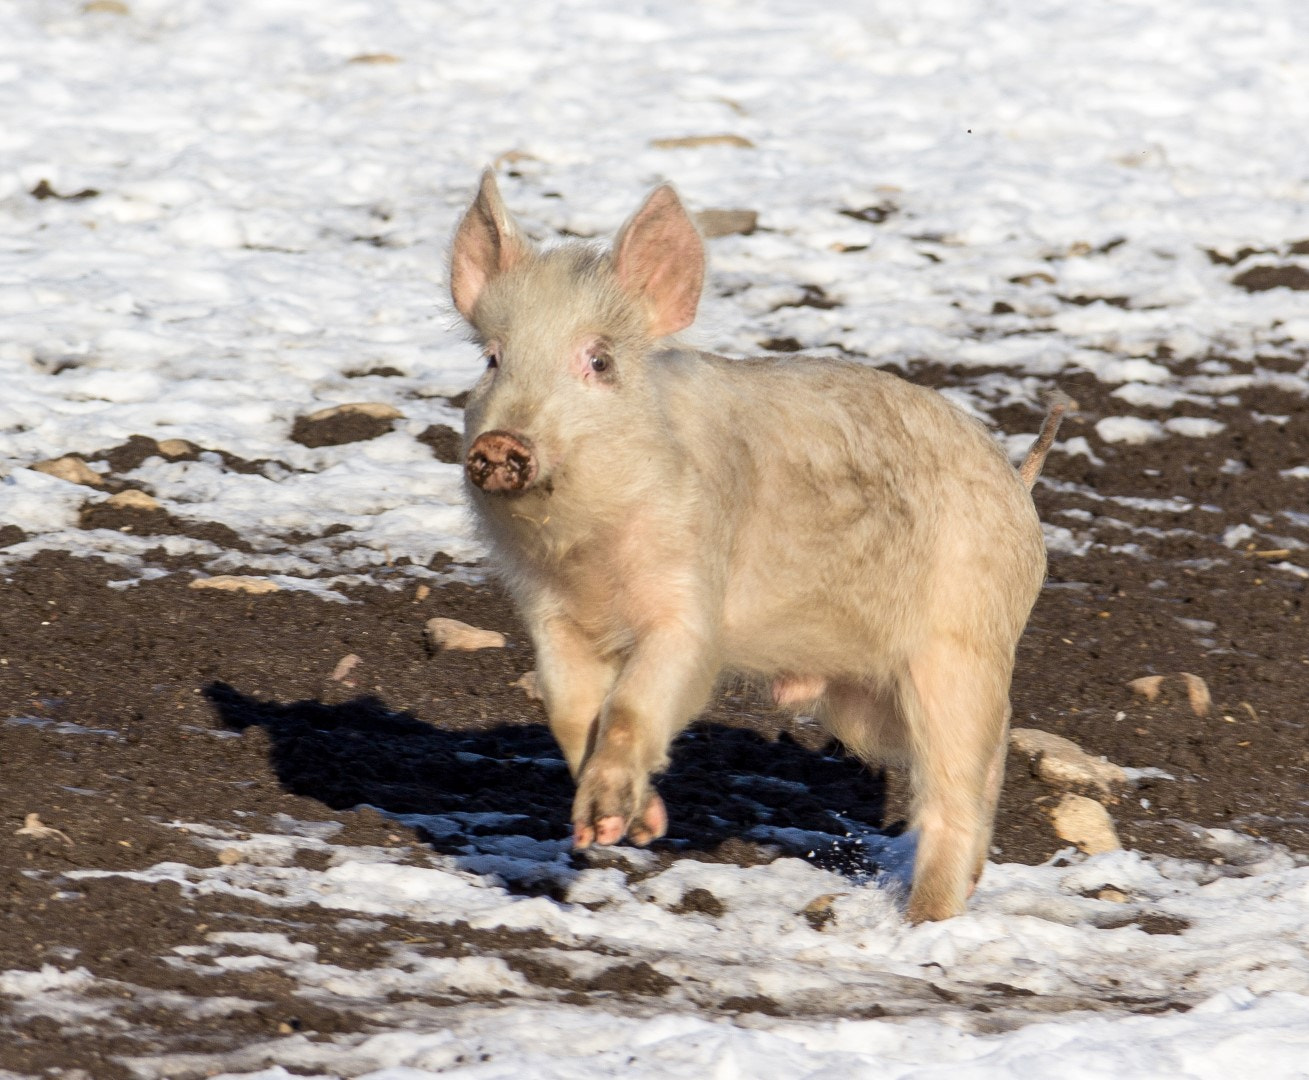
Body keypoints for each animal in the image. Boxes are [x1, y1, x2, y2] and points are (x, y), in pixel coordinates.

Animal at [450, 170, 1062, 922]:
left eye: (599, 360)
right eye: (491, 359)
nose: (498, 444)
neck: (586, 553)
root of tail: (1018, 487)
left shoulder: (691, 601)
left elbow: (638, 698)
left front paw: (605, 824)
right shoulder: (549, 614)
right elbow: (568, 714)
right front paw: (634, 830)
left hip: (961, 645)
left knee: (956, 784)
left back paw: (926, 922)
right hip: (860, 701)